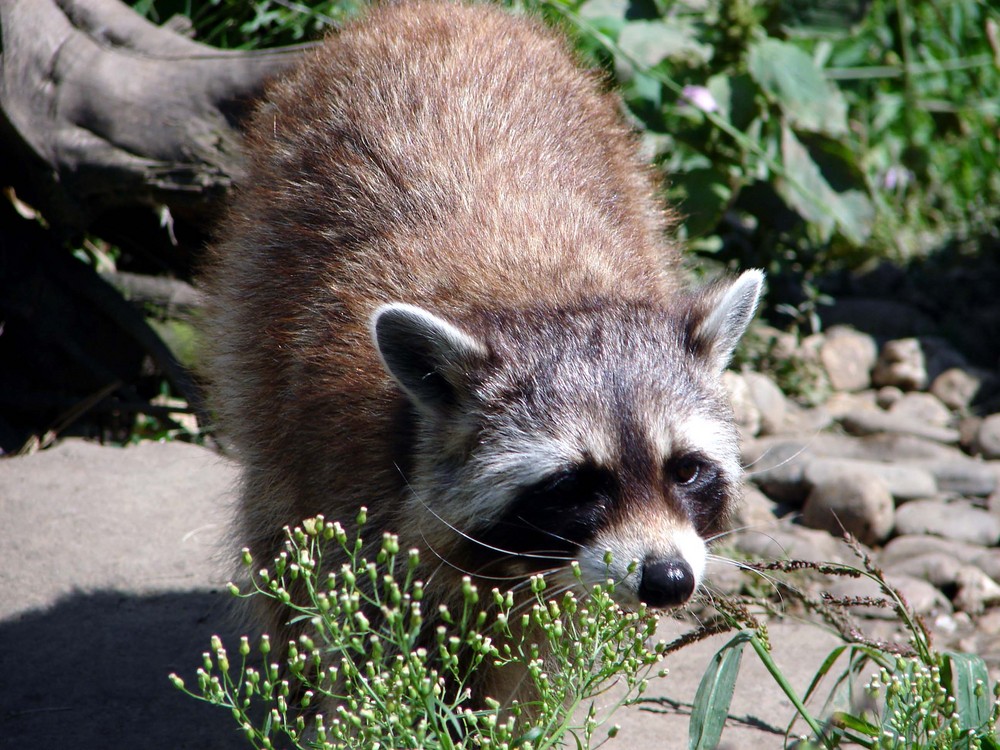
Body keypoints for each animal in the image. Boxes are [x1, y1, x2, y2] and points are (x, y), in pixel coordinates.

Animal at [205, 0, 764, 712]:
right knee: (272, 518)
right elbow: (347, 613)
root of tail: (443, 11)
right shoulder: (338, 455)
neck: (544, 301)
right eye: (575, 484)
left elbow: (532, 653)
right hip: (256, 297)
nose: (668, 580)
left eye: (687, 470)